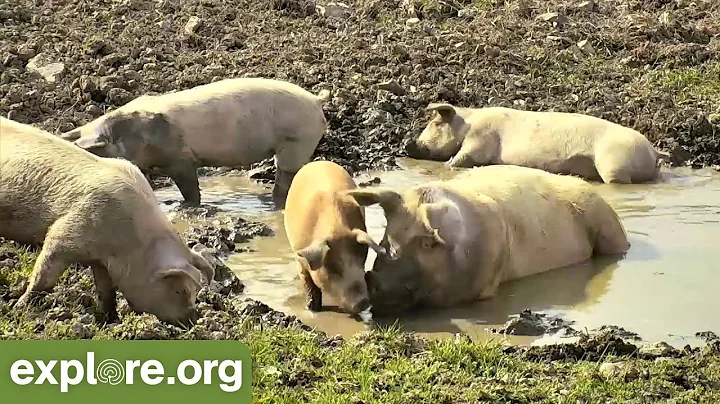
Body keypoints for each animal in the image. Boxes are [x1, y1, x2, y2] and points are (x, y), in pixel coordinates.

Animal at [0, 117, 215, 326]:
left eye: (194, 292)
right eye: (180, 290)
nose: (193, 320)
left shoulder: (102, 262)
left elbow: (107, 291)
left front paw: (111, 320)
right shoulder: (63, 233)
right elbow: (43, 275)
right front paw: (20, 307)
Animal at [60, 77, 330, 208]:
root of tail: (316, 100)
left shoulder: (179, 158)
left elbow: (189, 187)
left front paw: (186, 206)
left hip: (297, 141)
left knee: (285, 177)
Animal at [283, 160, 386, 317]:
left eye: (361, 260)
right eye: (332, 268)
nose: (362, 301)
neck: (335, 229)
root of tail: (318, 162)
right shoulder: (299, 256)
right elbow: (308, 283)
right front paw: (311, 309)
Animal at [406, 103, 671, 184]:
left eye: (435, 124)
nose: (408, 144)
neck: (467, 123)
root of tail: (653, 150)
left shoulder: (479, 139)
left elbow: (461, 160)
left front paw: (448, 165)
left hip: (615, 163)